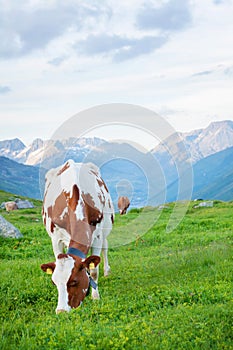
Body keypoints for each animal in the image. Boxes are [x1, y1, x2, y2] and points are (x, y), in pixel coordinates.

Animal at [40, 160, 114, 314]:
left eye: (74, 281)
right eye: (54, 282)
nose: (61, 311)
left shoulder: (97, 236)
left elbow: (94, 271)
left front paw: (95, 297)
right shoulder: (55, 238)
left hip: (105, 229)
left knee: (105, 247)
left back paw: (107, 271)